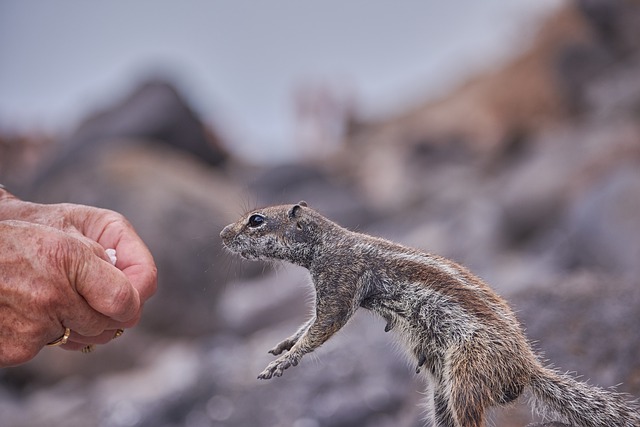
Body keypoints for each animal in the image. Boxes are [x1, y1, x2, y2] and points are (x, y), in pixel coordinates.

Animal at [221, 202, 640, 426]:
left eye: (256, 220)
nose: (222, 235)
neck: (328, 242)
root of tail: (526, 367)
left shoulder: (340, 280)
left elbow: (324, 325)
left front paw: (287, 359)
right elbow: (309, 323)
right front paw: (284, 343)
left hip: (467, 375)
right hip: (440, 391)